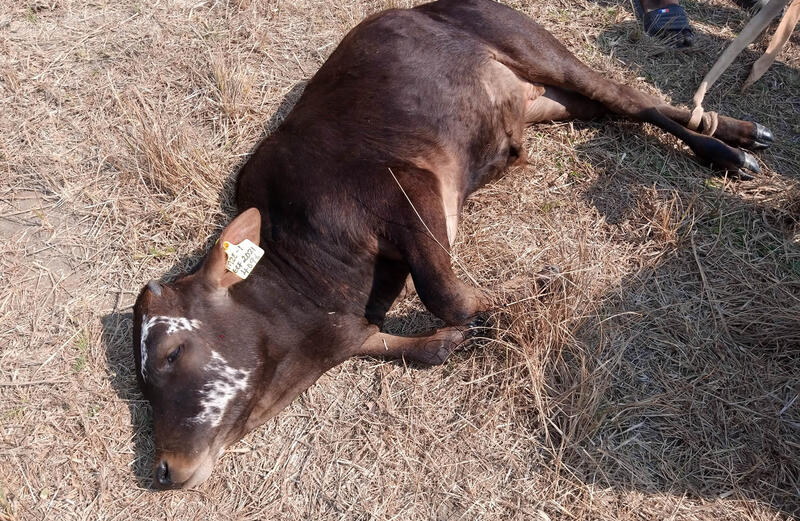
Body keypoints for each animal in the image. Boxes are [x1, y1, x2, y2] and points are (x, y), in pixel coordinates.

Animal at [133, 0, 776, 488]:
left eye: (169, 354)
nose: (164, 469)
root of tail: (422, 7)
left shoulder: (406, 188)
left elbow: (445, 294)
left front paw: (528, 300)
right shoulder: (356, 328)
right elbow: (426, 342)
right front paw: (471, 330)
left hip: (537, 48)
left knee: (632, 97)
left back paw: (730, 146)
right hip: (545, 98)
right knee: (627, 107)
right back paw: (733, 135)